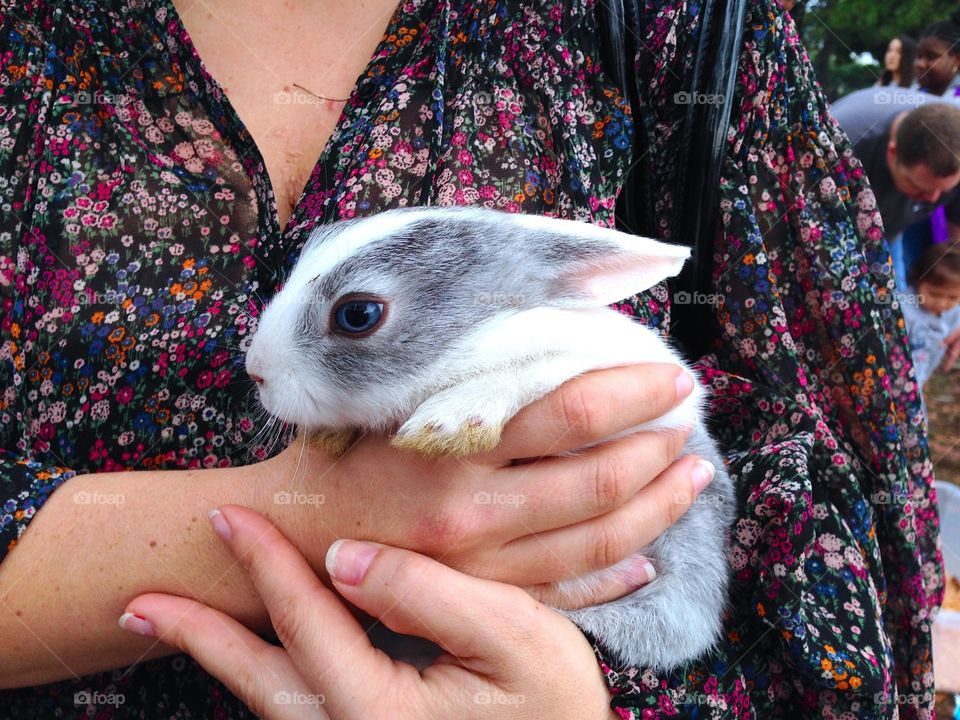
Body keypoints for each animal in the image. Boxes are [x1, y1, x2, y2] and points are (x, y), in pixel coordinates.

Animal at [244, 205, 732, 672]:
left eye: (358, 314)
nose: (255, 370)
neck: (477, 342)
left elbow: (532, 371)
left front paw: (446, 425)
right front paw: (330, 435)